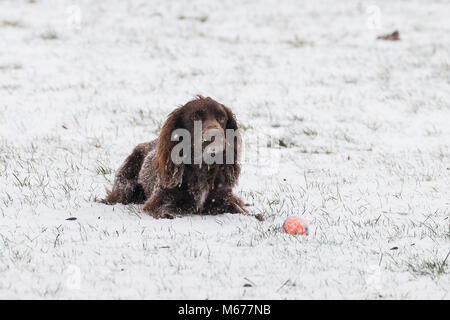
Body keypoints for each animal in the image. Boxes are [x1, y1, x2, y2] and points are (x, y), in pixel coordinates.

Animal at [103, 96, 256, 219]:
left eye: (222, 118)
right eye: (195, 117)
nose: (215, 136)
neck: (202, 168)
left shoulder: (223, 198)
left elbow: (242, 211)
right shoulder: (158, 201)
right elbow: (169, 210)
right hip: (126, 186)